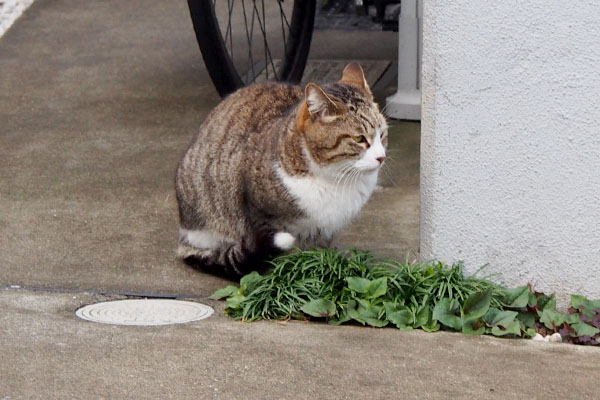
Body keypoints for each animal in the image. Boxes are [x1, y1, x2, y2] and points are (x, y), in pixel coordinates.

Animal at [176, 63, 386, 278]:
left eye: (382, 134)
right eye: (360, 139)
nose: (382, 157)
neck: (333, 178)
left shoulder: (325, 230)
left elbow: (317, 255)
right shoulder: (259, 215)